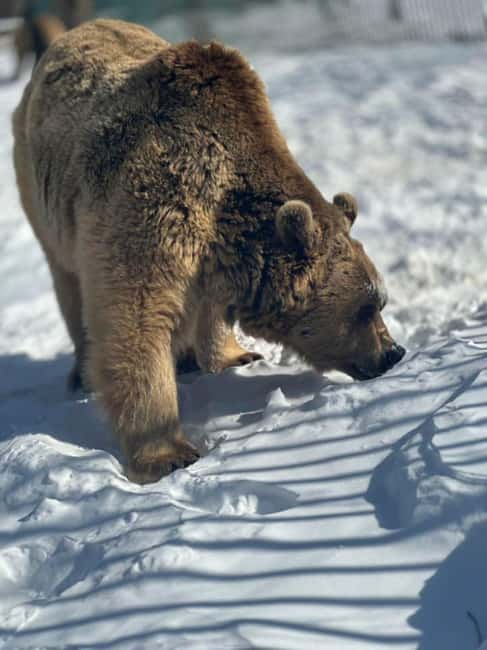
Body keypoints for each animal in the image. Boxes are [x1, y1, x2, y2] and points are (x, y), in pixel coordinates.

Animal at [12, 19, 405, 483]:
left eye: (379, 300)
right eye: (368, 306)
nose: (393, 353)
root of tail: (69, 34)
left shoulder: (216, 255)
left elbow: (211, 311)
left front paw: (236, 354)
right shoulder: (153, 204)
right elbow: (136, 319)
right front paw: (168, 452)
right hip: (42, 195)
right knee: (69, 284)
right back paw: (82, 372)